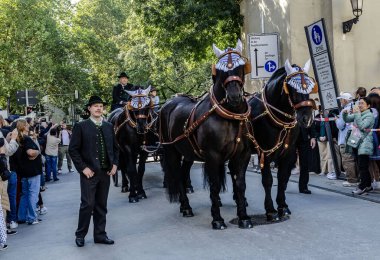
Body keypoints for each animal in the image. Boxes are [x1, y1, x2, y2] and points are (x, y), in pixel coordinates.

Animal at [159, 40, 254, 230]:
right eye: (220, 70)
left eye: (241, 66)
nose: (234, 96)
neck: (230, 117)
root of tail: (169, 103)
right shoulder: (212, 155)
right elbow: (215, 185)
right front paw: (217, 219)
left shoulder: (242, 154)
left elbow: (240, 185)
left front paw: (243, 217)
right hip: (172, 151)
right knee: (177, 175)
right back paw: (186, 207)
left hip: (188, 153)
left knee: (183, 174)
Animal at [232, 59, 318, 221]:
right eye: (292, 88)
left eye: (310, 86)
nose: (307, 118)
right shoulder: (264, 153)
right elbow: (268, 180)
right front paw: (270, 209)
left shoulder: (289, 153)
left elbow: (283, 179)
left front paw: (282, 206)